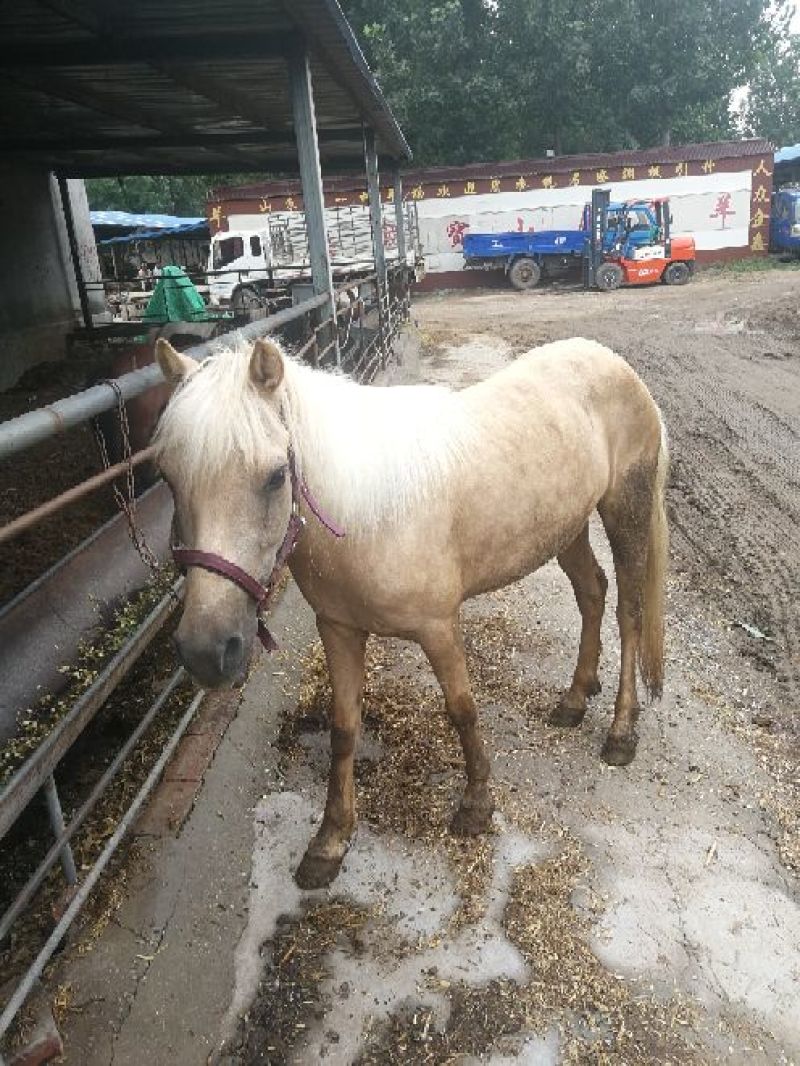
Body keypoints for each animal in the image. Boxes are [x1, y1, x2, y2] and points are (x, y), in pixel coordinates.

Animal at [153, 333, 668, 889]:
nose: (206, 650)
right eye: (168, 478)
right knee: (591, 593)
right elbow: (343, 728)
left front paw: (476, 807)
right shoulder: (338, 629)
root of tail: (615, 364)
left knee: (629, 614)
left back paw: (620, 733)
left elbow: (462, 710)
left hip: (624, 509)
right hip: (566, 527)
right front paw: (329, 842)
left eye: (274, 477)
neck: (365, 515)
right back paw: (574, 698)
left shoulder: (438, 627)